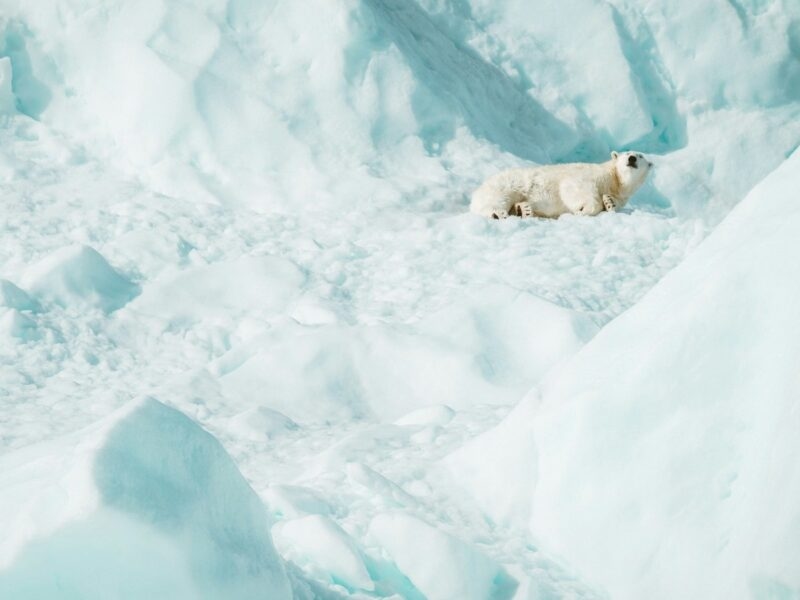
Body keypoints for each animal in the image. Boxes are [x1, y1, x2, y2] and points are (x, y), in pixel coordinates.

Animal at [470, 151, 653, 219]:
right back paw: (498, 213)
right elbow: (574, 186)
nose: (632, 158)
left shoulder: (620, 195)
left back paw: (524, 210)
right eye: (626, 153)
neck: (614, 180)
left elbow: (612, 202)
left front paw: (608, 202)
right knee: (496, 199)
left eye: (640, 156)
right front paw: (583, 209)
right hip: (506, 185)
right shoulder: (589, 175)